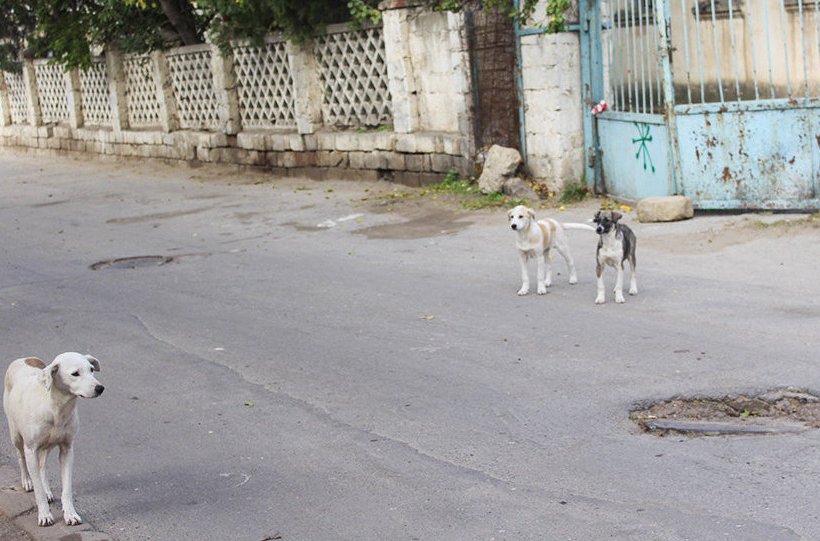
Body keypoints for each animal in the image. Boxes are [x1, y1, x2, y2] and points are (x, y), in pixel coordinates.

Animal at [2, 352, 104, 524]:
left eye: (91, 369)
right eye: (75, 373)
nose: (100, 388)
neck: (56, 409)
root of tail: (25, 358)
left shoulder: (67, 450)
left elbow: (67, 489)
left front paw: (70, 514)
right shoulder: (31, 450)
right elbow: (37, 490)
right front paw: (44, 515)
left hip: (47, 445)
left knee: (42, 465)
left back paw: (47, 489)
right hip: (15, 435)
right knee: (21, 457)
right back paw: (27, 481)